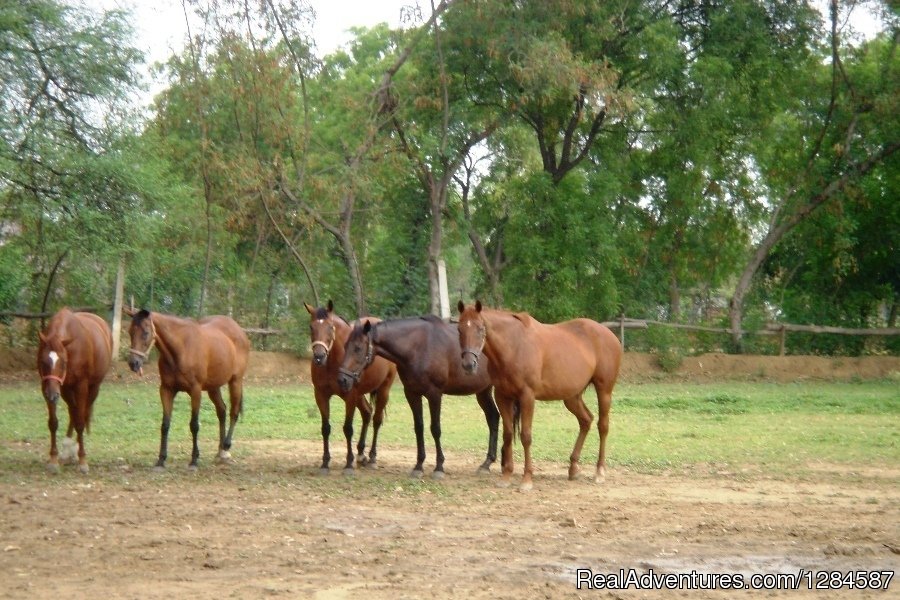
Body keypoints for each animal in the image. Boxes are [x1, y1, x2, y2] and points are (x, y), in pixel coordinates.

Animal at [36, 310, 112, 474]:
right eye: (43, 362)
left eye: (64, 362)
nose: (52, 395)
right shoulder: (49, 387)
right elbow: (53, 423)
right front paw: (53, 459)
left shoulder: (80, 386)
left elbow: (80, 422)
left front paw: (83, 460)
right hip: (65, 390)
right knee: (73, 411)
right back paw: (67, 449)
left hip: (92, 388)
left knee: (82, 413)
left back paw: (75, 450)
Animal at [125, 310, 248, 468]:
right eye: (130, 332)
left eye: (146, 333)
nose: (133, 363)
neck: (181, 348)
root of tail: (238, 329)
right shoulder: (166, 390)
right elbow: (165, 425)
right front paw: (161, 459)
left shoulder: (195, 391)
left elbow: (194, 425)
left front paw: (194, 460)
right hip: (213, 387)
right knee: (222, 411)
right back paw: (220, 451)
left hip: (235, 381)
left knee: (234, 412)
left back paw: (226, 446)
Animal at [302, 300, 394, 474]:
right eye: (311, 327)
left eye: (330, 327)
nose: (319, 356)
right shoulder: (321, 395)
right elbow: (325, 428)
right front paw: (325, 463)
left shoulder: (350, 396)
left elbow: (348, 429)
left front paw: (348, 464)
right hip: (360, 395)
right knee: (367, 413)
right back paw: (361, 454)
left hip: (383, 389)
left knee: (376, 420)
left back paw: (371, 458)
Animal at [338, 316, 500, 480]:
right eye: (345, 346)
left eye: (358, 348)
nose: (342, 380)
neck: (418, 348)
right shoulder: (412, 394)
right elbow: (419, 427)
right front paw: (418, 466)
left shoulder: (435, 394)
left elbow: (435, 429)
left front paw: (439, 467)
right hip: (483, 392)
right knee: (493, 417)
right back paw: (487, 463)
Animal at [458, 302, 620, 490]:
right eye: (459, 329)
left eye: (480, 328)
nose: (468, 364)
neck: (513, 346)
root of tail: (609, 334)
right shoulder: (502, 396)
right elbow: (507, 434)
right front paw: (506, 476)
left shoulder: (527, 396)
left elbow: (526, 436)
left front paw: (527, 479)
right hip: (572, 397)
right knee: (586, 420)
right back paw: (573, 468)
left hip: (604, 391)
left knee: (603, 426)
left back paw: (600, 471)